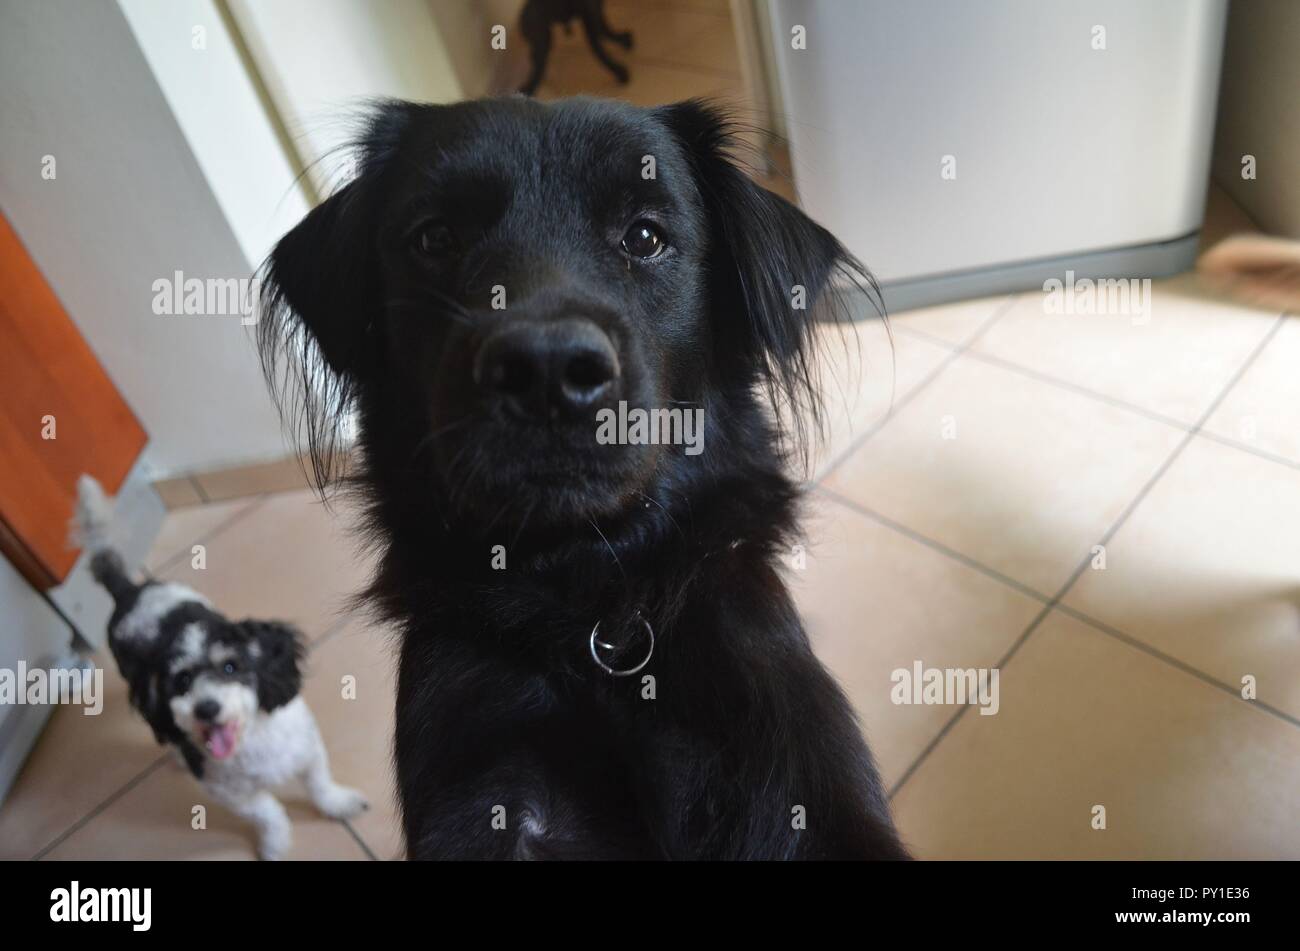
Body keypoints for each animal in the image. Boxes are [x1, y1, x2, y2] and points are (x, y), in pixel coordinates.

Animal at [73, 478, 369, 857]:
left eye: (230, 667)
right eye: (181, 681)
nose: (206, 708)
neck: (250, 740)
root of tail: (128, 592)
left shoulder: (306, 747)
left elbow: (320, 783)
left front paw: (337, 803)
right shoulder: (226, 790)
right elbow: (268, 812)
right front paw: (275, 844)